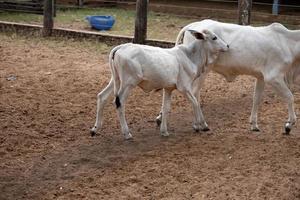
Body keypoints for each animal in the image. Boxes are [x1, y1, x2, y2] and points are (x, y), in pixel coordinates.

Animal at [90, 29, 229, 139]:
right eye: (214, 37)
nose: (227, 46)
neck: (190, 56)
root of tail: (120, 48)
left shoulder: (168, 88)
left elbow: (166, 108)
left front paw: (164, 131)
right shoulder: (184, 87)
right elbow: (195, 102)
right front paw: (200, 125)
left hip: (115, 80)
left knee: (102, 96)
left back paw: (95, 129)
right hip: (128, 83)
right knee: (119, 102)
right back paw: (126, 133)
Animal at [158, 19, 298, 134]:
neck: (287, 42)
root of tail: (193, 25)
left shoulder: (261, 77)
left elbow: (256, 99)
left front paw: (254, 124)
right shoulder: (273, 77)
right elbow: (290, 97)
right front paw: (289, 124)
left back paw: (161, 118)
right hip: (203, 71)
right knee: (194, 93)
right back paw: (200, 124)